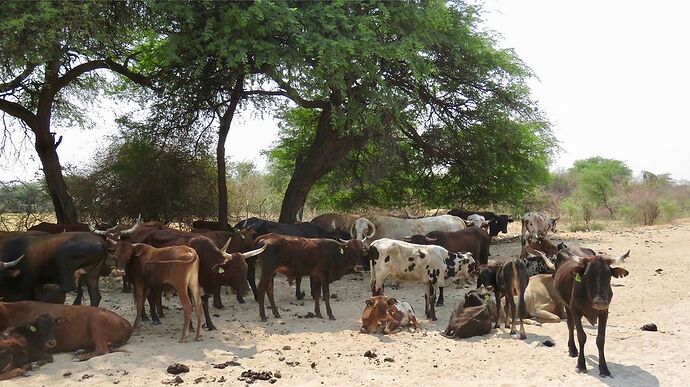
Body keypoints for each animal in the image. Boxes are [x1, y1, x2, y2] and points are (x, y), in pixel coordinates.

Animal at [552, 250, 628, 378]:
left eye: (609, 276)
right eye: (587, 276)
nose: (600, 302)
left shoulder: (604, 312)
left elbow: (600, 339)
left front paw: (604, 368)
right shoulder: (575, 310)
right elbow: (581, 336)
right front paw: (581, 365)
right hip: (567, 306)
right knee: (570, 326)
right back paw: (572, 349)